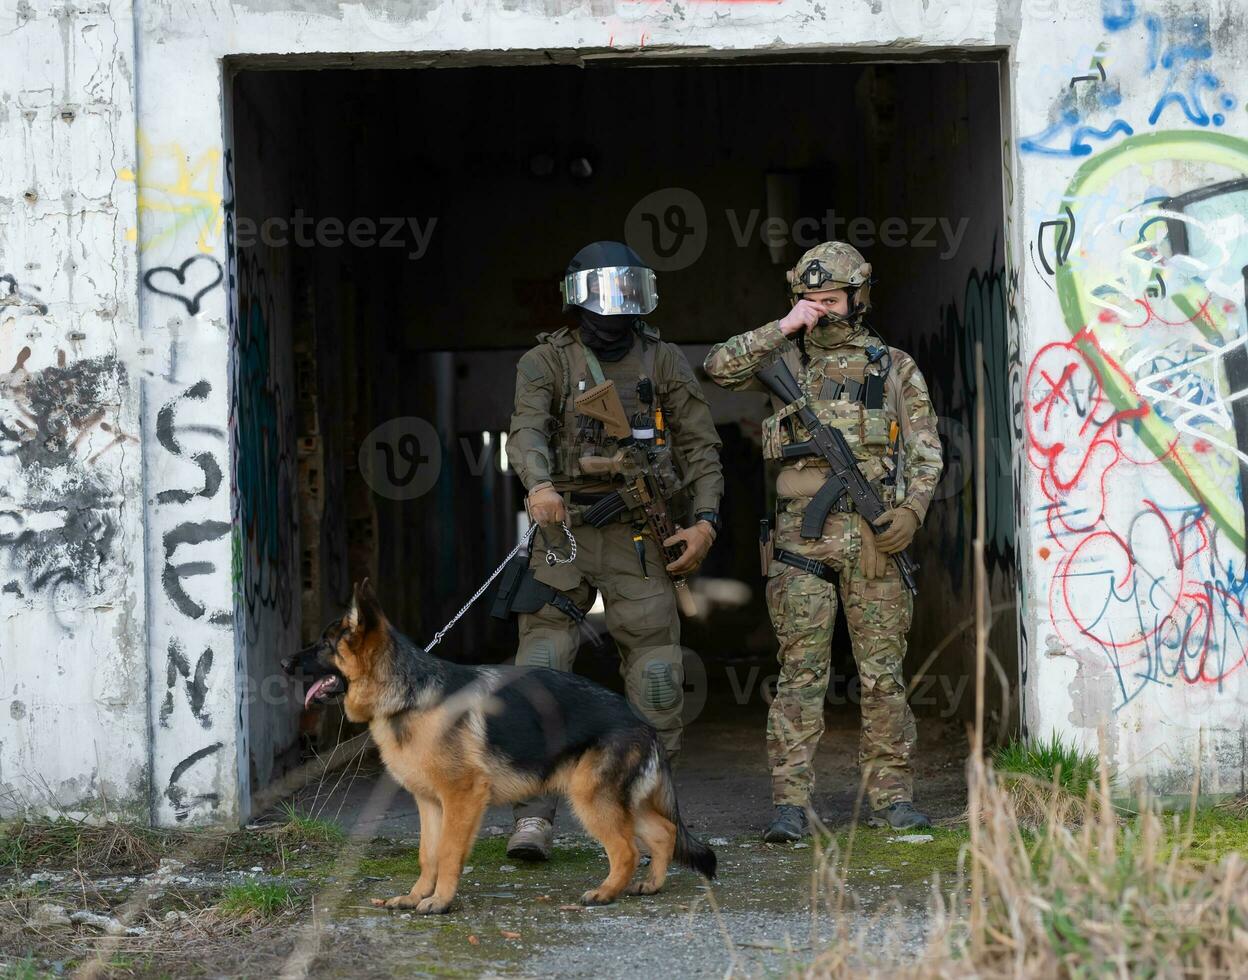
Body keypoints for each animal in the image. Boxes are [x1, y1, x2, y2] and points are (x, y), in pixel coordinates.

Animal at [282, 576, 713, 913]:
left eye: (323, 645)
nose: (284, 664)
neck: (408, 693)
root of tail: (641, 721)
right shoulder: (430, 803)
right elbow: (427, 854)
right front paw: (416, 896)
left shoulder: (462, 797)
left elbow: (449, 851)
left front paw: (440, 902)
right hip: (619, 801)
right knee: (663, 832)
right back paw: (651, 885)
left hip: (591, 798)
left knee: (627, 850)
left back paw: (605, 893)